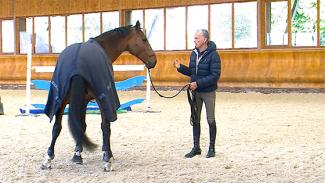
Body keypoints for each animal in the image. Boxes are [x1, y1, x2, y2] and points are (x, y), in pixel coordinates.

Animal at [40, 21, 157, 172]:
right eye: (144, 39)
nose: (153, 61)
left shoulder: (82, 101)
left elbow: (80, 125)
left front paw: (77, 154)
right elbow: (104, 127)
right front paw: (107, 154)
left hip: (61, 100)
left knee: (56, 128)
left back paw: (48, 158)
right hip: (101, 100)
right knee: (105, 127)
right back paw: (107, 160)